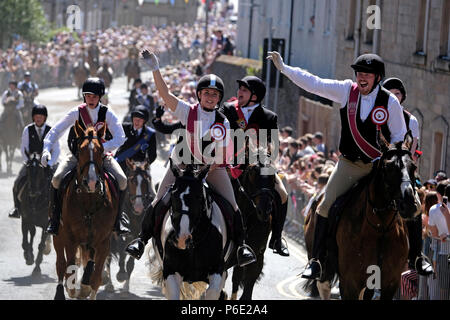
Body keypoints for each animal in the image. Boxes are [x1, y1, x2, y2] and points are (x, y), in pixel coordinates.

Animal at [52, 122, 118, 300]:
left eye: (101, 150)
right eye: (80, 150)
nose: (92, 182)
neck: (89, 200)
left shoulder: (103, 242)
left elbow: (95, 278)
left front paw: (86, 288)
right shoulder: (70, 239)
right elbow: (70, 270)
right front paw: (74, 290)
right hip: (58, 236)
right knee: (61, 265)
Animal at [304, 131, 416, 300]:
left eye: (413, 166)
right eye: (389, 167)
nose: (409, 204)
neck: (380, 228)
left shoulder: (389, 283)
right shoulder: (350, 283)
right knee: (323, 286)